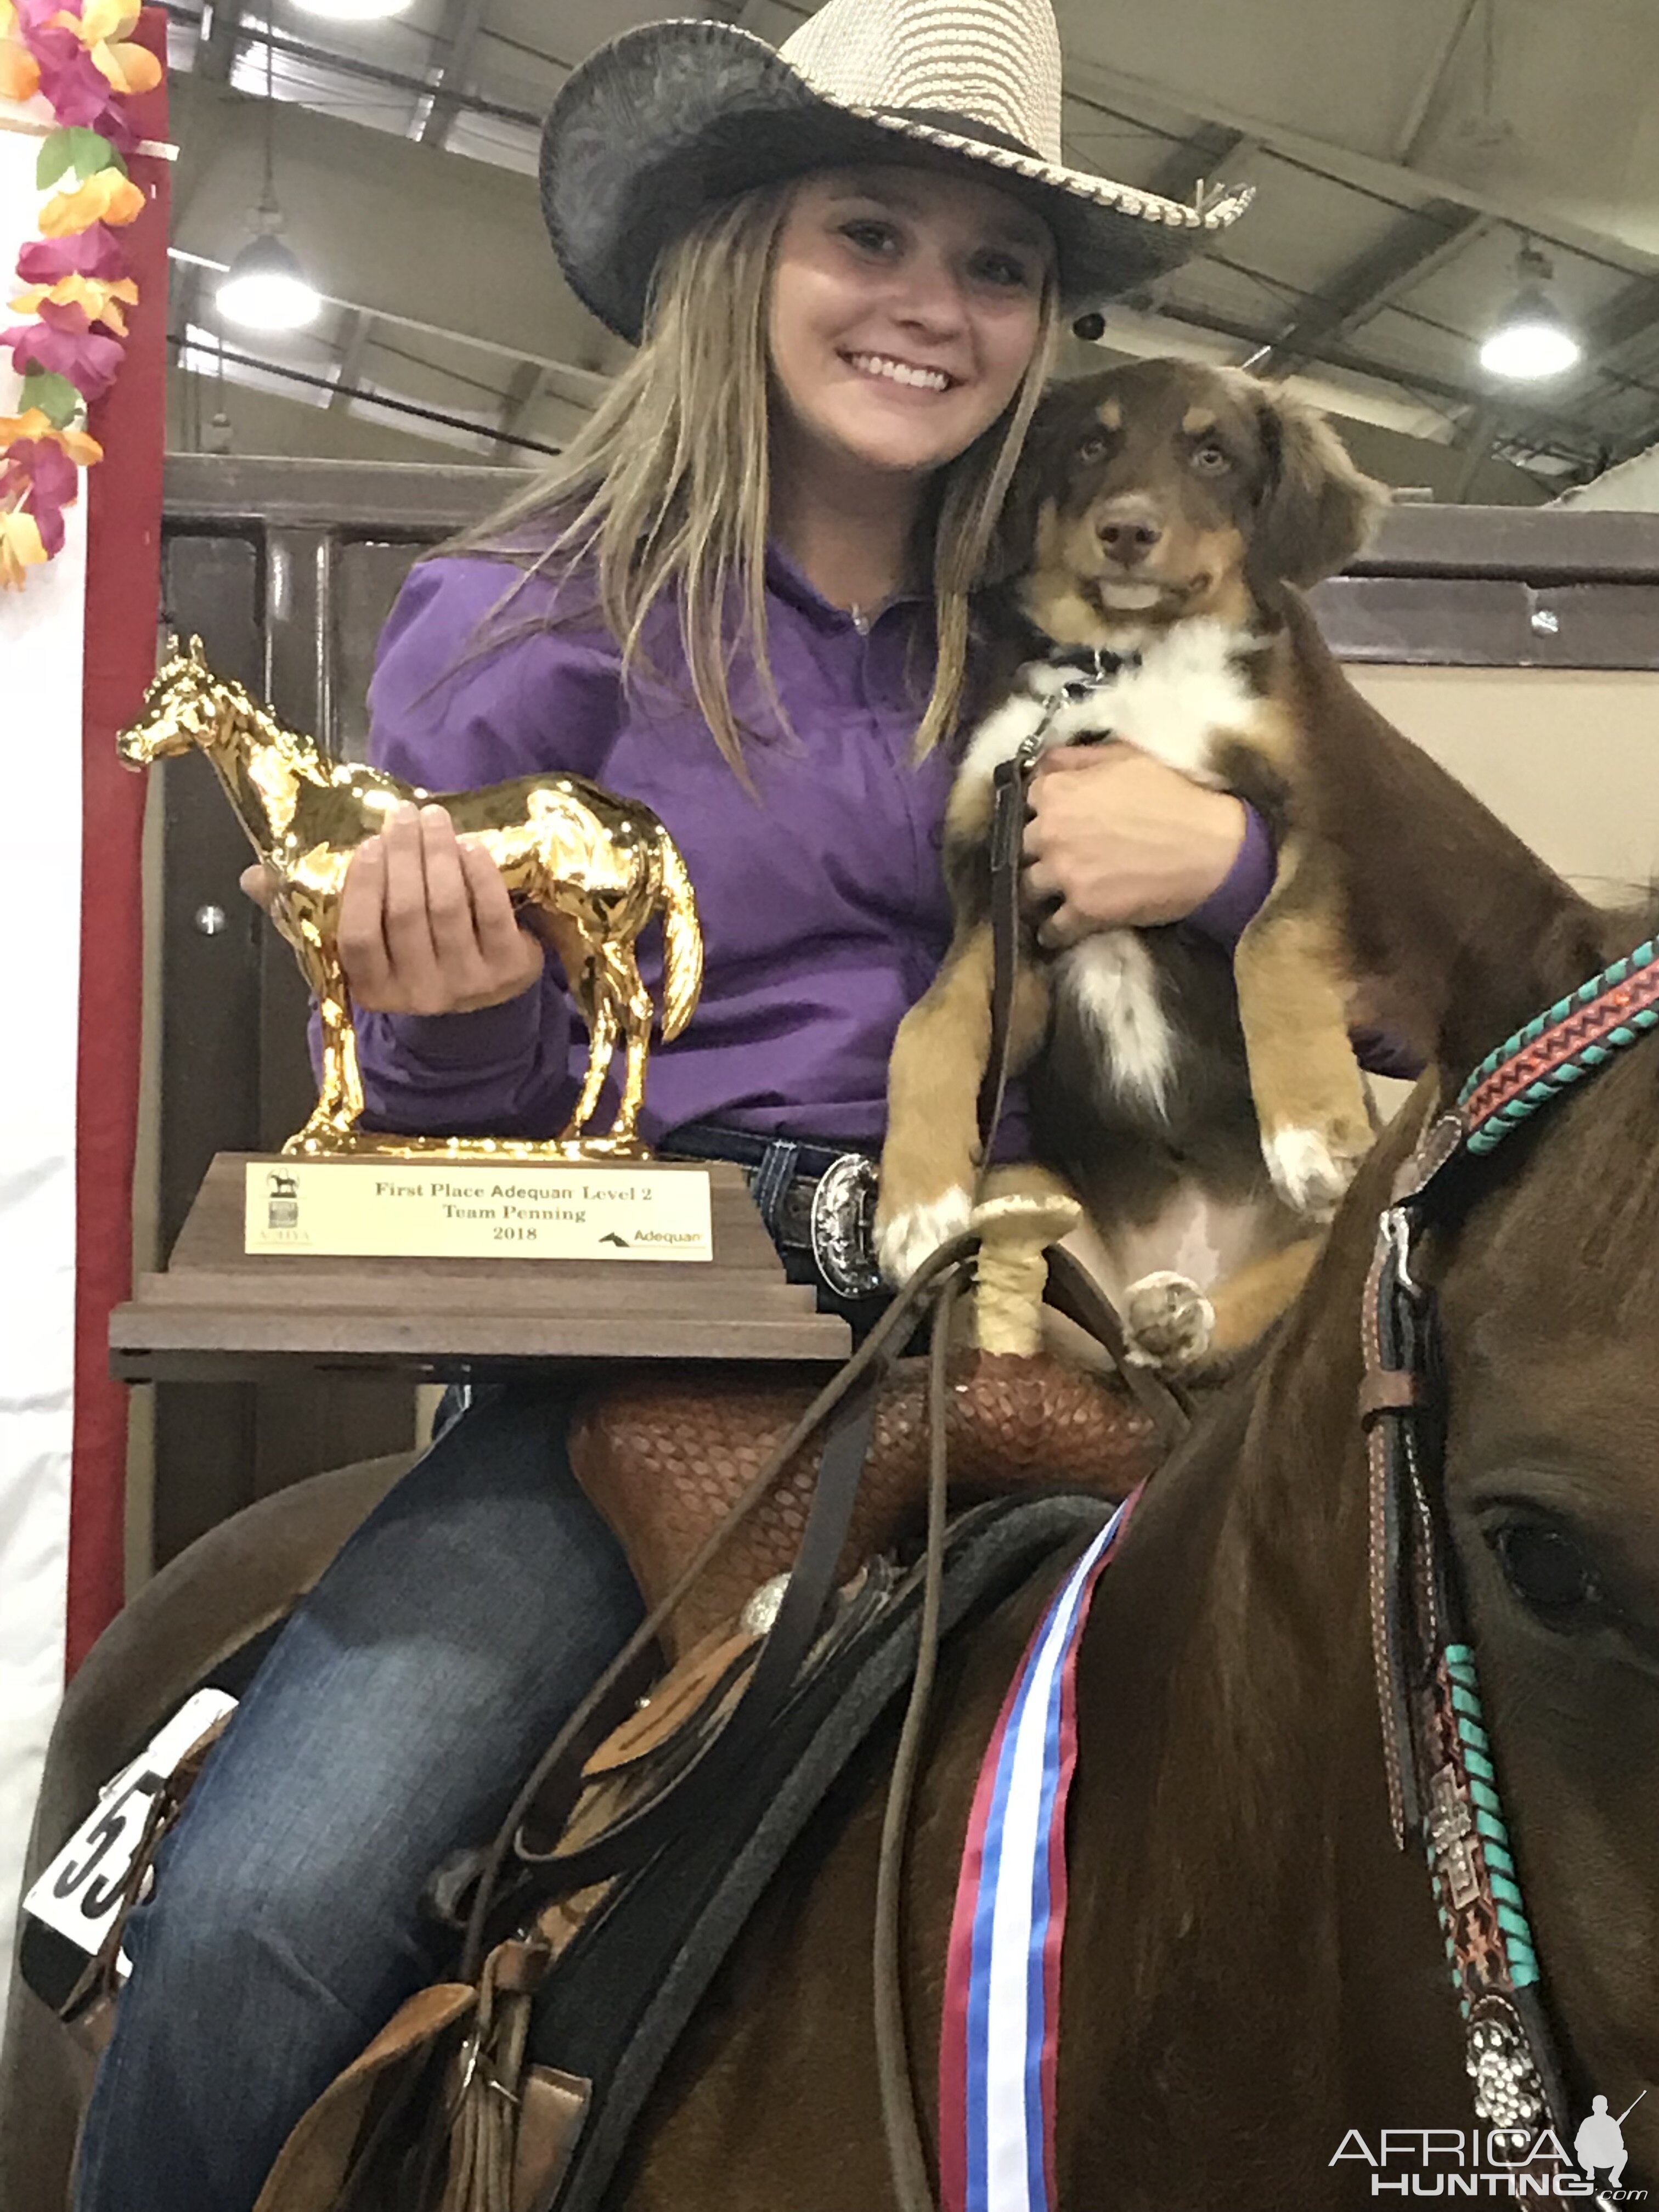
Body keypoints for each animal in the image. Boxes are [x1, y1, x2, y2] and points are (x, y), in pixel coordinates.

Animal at [884, 360, 1389, 1362]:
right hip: (1029, 1198)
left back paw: (1185, 1315)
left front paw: (1311, 1131)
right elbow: (928, 1021)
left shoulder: (1314, 827)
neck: (1118, 669)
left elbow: (1268, 940)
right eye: (1089, 445)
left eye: (1211, 454)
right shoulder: (995, 892)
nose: (1125, 531)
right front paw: (912, 1206)